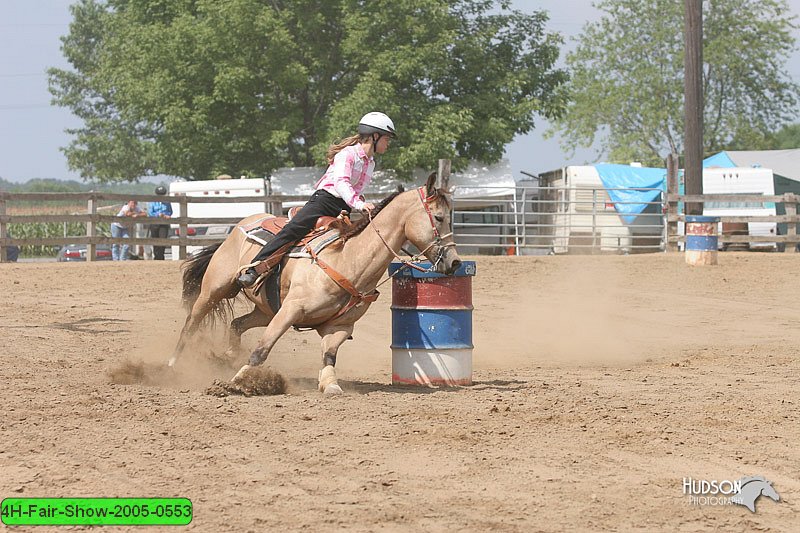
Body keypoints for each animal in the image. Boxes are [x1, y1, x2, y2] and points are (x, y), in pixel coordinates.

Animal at [169, 172, 462, 392]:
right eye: (438, 217)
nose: (455, 262)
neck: (348, 260)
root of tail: (245, 222)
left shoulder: (340, 326)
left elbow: (329, 356)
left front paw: (330, 384)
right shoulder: (290, 310)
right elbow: (262, 349)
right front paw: (238, 382)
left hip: (265, 309)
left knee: (237, 324)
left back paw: (229, 357)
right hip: (215, 290)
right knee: (191, 322)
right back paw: (173, 364)